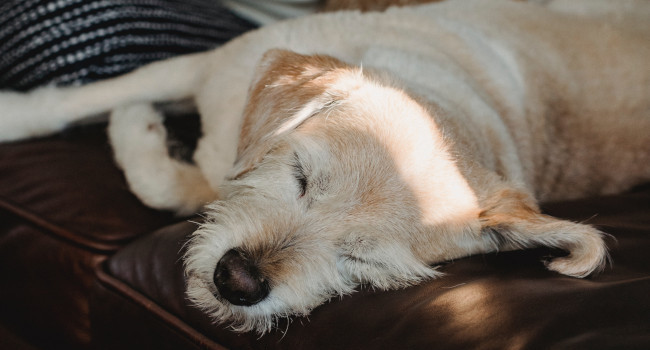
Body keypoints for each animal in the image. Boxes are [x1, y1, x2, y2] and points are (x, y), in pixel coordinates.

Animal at [1, 0, 648, 334]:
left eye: (363, 259)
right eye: (300, 177)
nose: (238, 283)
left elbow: (164, 182)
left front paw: (139, 127)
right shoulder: (202, 66)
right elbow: (81, 100)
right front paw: (21, 114)